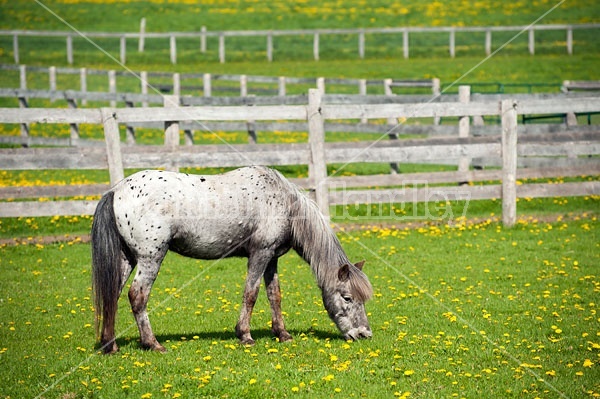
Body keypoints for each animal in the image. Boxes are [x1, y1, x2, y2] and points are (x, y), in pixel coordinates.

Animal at [90, 167, 370, 354]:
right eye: (347, 298)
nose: (364, 333)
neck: (283, 201)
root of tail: (115, 191)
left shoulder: (271, 259)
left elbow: (274, 296)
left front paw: (282, 333)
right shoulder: (260, 254)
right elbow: (251, 294)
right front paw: (245, 335)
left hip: (126, 258)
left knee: (112, 295)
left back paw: (110, 345)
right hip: (151, 258)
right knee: (137, 296)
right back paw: (152, 343)